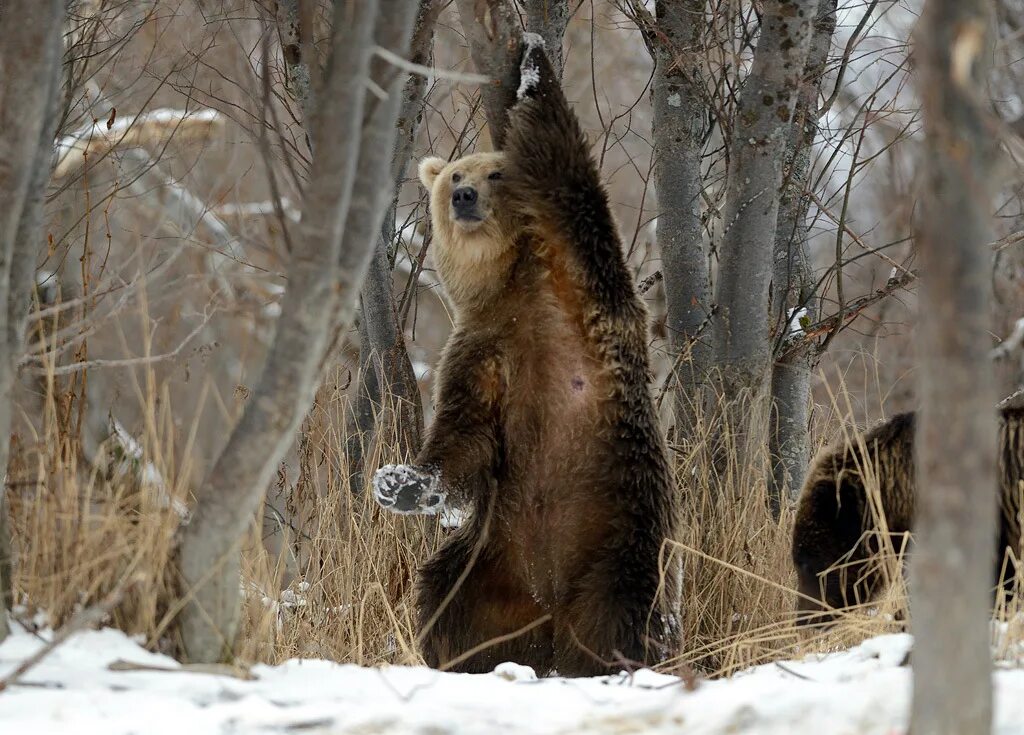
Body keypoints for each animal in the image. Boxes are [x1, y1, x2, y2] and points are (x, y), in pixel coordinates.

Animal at [370, 37, 679, 675]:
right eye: (454, 174)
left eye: (494, 171)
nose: (463, 196)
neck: (515, 287)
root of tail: (552, 607)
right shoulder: (483, 351)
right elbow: (462, 439)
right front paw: (399, 483)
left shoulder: (581, 282)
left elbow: (567, 170)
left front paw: (534, 68)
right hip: (491, 557)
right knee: (445, 597)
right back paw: (469, 657)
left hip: (624, 531)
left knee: (629, 610)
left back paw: (619, 661)